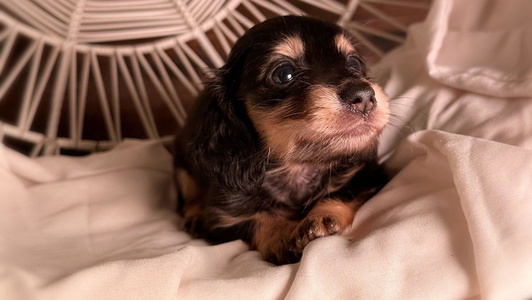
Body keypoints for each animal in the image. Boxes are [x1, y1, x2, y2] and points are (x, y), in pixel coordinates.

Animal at [177, 15, 388, 264]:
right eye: (283, 73)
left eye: (354, 64)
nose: (363, 96)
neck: (297, 168)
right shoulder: (223, 217)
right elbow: (258, 219)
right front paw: (283, 235)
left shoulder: (369, 175)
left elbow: (343, 192)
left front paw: (321, 217)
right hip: (182, 170)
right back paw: (194, 216)